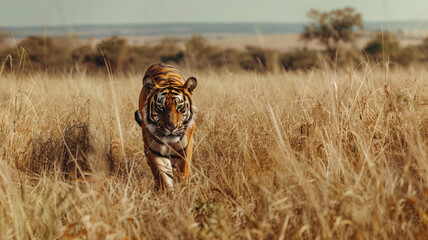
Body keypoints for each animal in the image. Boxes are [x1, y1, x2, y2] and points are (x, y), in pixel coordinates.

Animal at [135, 62, 198, 190]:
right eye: (160, 107)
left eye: (179, 106)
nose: (171, 127)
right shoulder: (155, 151)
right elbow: (163, 177)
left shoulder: (184, 149)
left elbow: (182, 174)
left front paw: (181, 190)